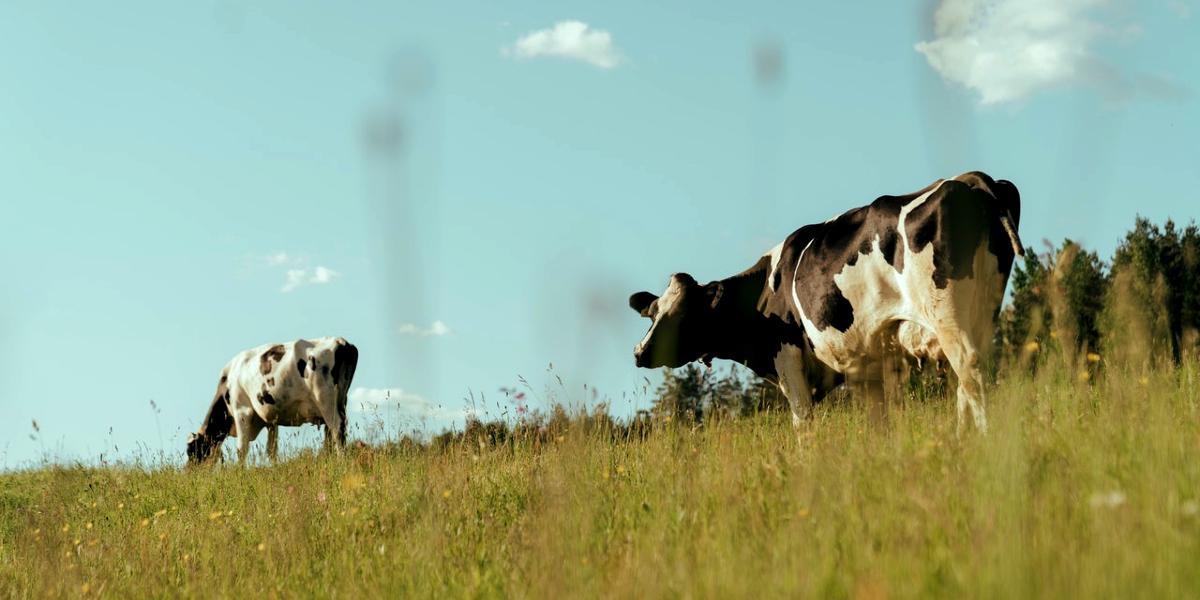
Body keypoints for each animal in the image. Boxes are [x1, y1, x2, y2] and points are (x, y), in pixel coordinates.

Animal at [184, 338, 357, 463]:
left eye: (191, 451)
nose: (189, 472)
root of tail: (342, 342)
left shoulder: (242, 411)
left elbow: (242, 449)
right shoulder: (270, 420)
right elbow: (271, 450)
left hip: (326, 401)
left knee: (337, 430)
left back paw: (341, 462)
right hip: (340, 401)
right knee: (332, 435)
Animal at [628, 172, 1022, 432]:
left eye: (681, 316)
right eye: (652, 314)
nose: (639, 352)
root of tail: (973, 181)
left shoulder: (787, 357)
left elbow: (803, 421)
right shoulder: (868, 365)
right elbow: (878, 423)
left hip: (948, 315)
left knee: (970, 369)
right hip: (983, 310)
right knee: (968, 379)